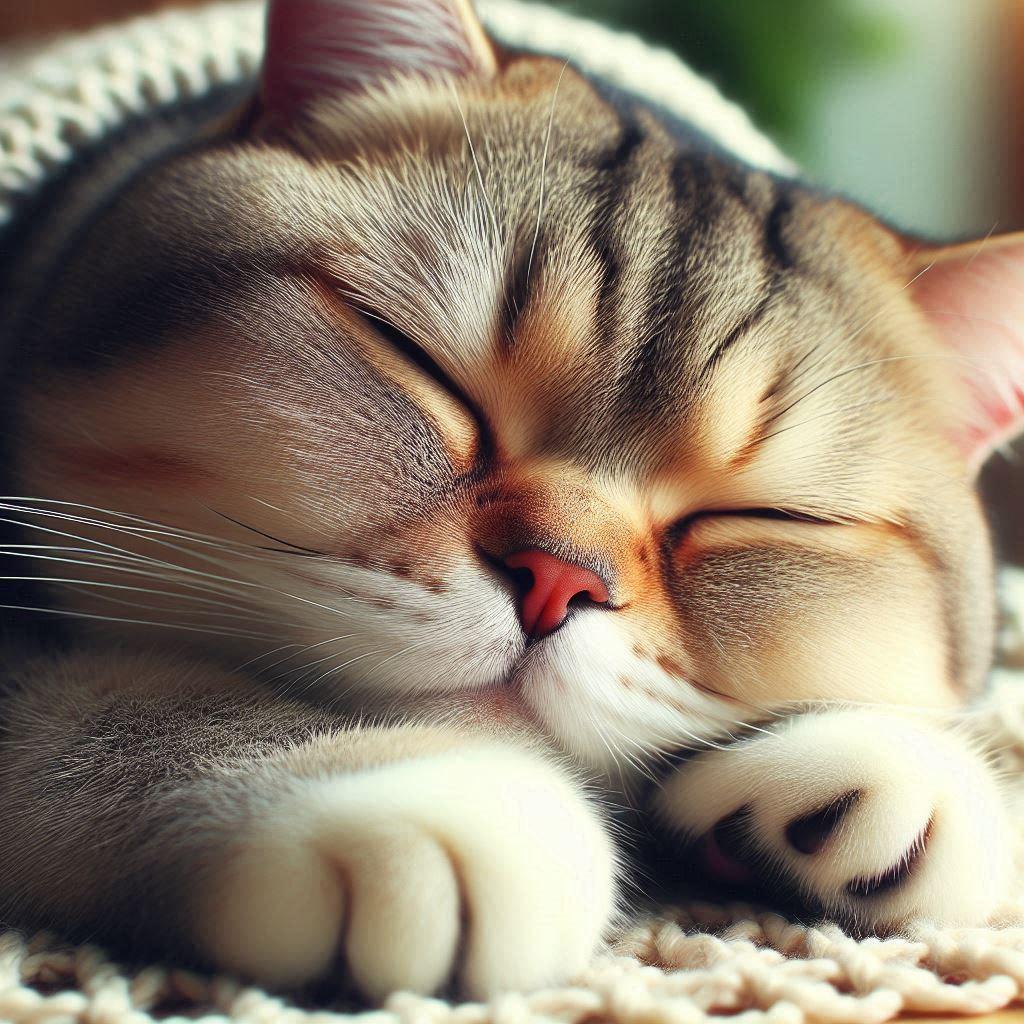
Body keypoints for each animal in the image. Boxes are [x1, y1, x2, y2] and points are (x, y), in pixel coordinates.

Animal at [0, 0, 1022, 1003]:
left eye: (768, 517)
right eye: (416, 359)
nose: (556, 580)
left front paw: (894, 764)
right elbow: (119, 704)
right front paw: (415, 789)